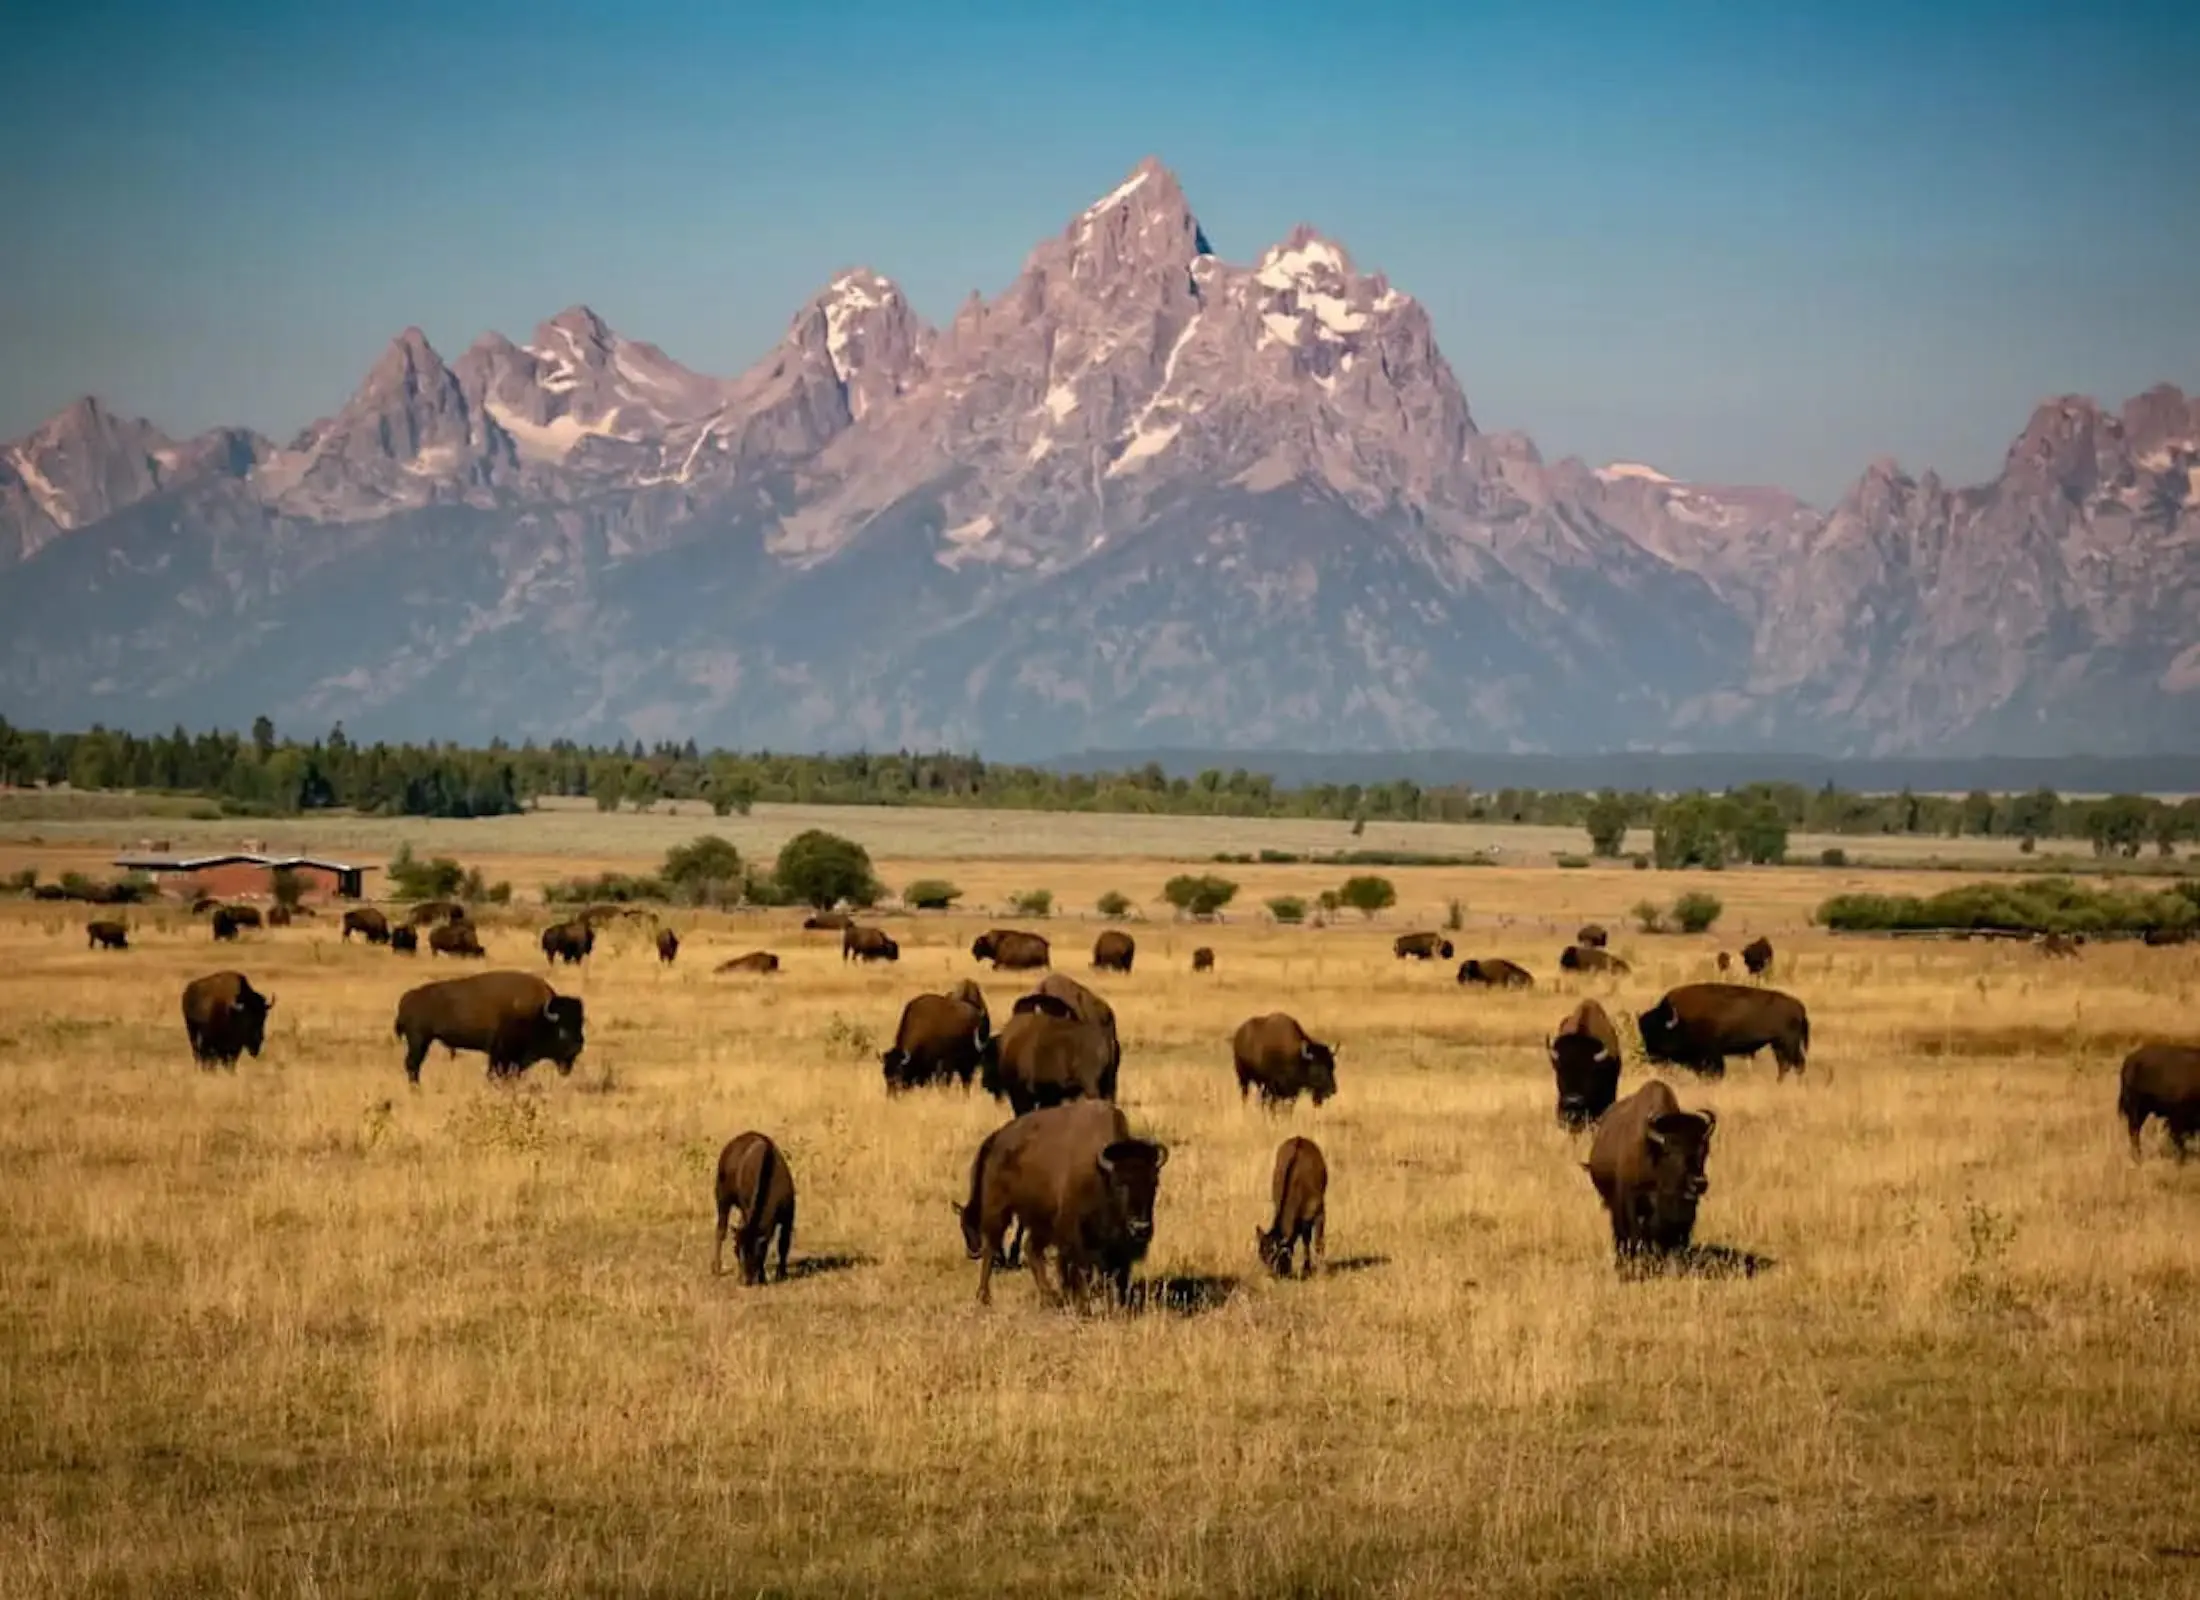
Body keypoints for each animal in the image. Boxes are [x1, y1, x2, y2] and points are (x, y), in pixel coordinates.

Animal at [392, 970, 585, 1084]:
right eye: (562, 1031)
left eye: (581, 1024)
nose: (577, 1047)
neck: (537, 1014)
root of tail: (406, 998)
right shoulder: (500, 1054)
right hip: (419, 1040)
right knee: (412, 1064)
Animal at [713, 1131, 797, 1283]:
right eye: (736, 1251)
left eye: (755, 1252)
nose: (744, 1280)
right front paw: (763, 1277)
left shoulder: (788, 1216)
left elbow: (783, 1244)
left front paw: (781, 1274)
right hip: (722, 1200)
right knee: (720, 1231)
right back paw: (717, 1268)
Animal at [959, 1099, 1167, 1308]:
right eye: (1119, 1184)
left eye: (1154, 1183)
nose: (1140, 1228)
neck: (1100, 1173)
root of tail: (996, 1140)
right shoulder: (1074, 1234)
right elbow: (1080, 1270)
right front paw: (1083, 1304)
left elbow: (1115, 1273)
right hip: (998, 1210)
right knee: (991, 1248)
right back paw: (984, 1296)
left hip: (1041, 1220)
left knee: (1031, 1249)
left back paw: (1050, 1297)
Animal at [1256, 1136, 1328, 1279]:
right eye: (1261, 1256)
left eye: (1274, 1255)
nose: (1270, 1276)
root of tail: (1300, 1137)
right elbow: (1303, 1239)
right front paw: (1304, 1269)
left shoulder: (1320, 1211)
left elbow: (1317, 1241)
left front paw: (1320, 1271)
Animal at [1638, 983, 1810, 1079]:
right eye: (1643, 1032)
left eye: (1657, 1032)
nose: (1650, 1056)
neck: (1680, 1020)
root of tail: (1799, 1007)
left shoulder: (1712, 1054)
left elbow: (1717, 1072)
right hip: (1777, 1044)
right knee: (1785, 1065)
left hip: (1788, 1043)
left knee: (1797, 1064)